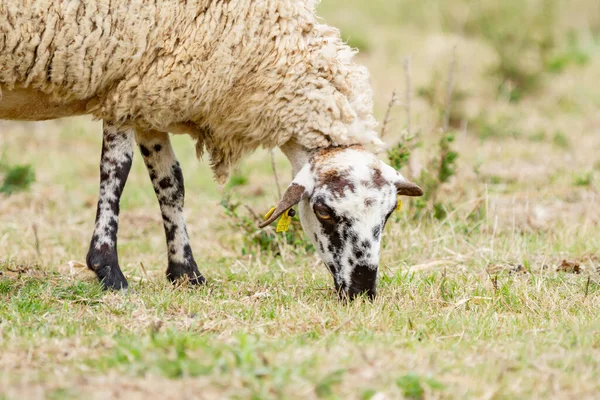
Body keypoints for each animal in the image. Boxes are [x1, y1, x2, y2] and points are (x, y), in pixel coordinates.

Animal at [1, 0, 422, 300]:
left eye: (389, 214)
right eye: (323, 212)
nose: (363, 291)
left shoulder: (151, 93)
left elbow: (171, 183)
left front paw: (186, 273)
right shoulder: (123, 84)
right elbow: (116, 172)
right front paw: (109, 271)